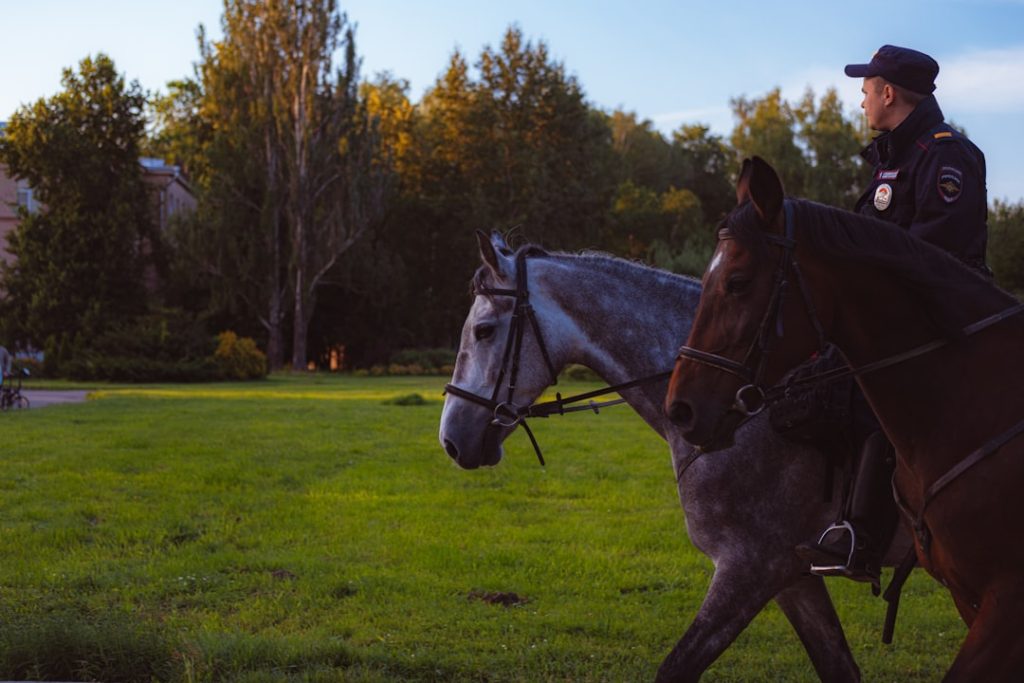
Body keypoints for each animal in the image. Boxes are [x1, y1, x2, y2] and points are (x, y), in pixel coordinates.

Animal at [439, 230, 911, 682]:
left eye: (484, 330)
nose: (450, 439)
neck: (741, 409)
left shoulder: (751, 566)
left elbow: (676, 668)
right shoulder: (792, 575)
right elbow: (838, 667)